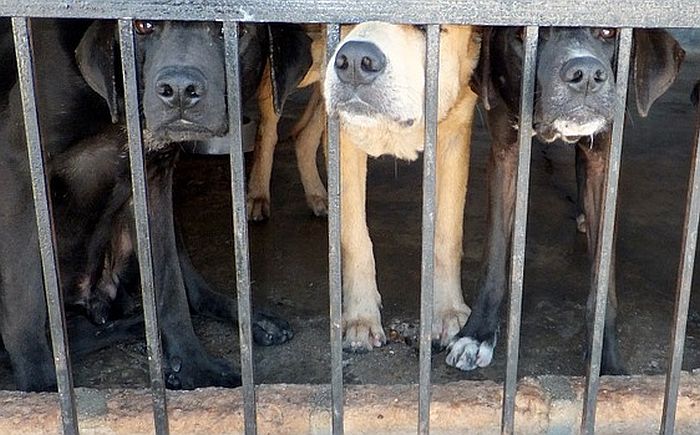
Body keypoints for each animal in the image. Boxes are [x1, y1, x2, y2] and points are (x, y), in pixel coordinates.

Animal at [0, 18, 312, 392]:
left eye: (232, 31)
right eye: (142, 25)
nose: (179, 90)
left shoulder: (155, 179)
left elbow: (170, 288)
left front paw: (194, 366)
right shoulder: (18, 166)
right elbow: (25, 302)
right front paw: (41, 387)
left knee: (189, 286)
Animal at [324, 22, 482, 352]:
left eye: (425, 26)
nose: (355, 60)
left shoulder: (455, 131)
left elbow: (446, 236)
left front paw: (447, 311)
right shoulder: (342, 136)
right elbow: (355, 239)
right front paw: (360, 319)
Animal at [448, 26, 684, 374]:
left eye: (608, 32)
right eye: (524, 35)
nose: (585, 74)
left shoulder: (604, 160)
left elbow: (603, 283)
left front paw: (604, 362)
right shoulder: (505, 155)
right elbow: (493, 260)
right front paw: (477, 333)